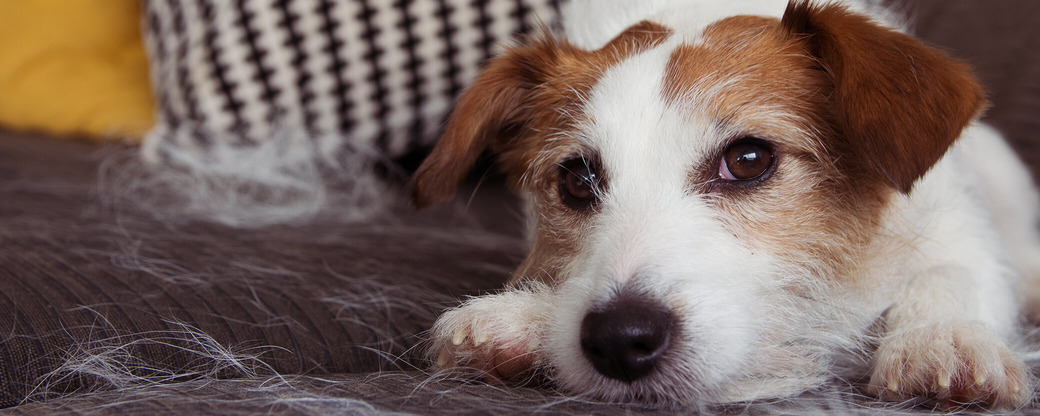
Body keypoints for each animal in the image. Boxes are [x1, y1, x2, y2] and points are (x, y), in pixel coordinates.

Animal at [405, 0, 1040, 409]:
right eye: (578, 180)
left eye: (749, 159)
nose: (619, 338)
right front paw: (521, 319)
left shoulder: (957, 222)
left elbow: (952, 271)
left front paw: (943, 338)